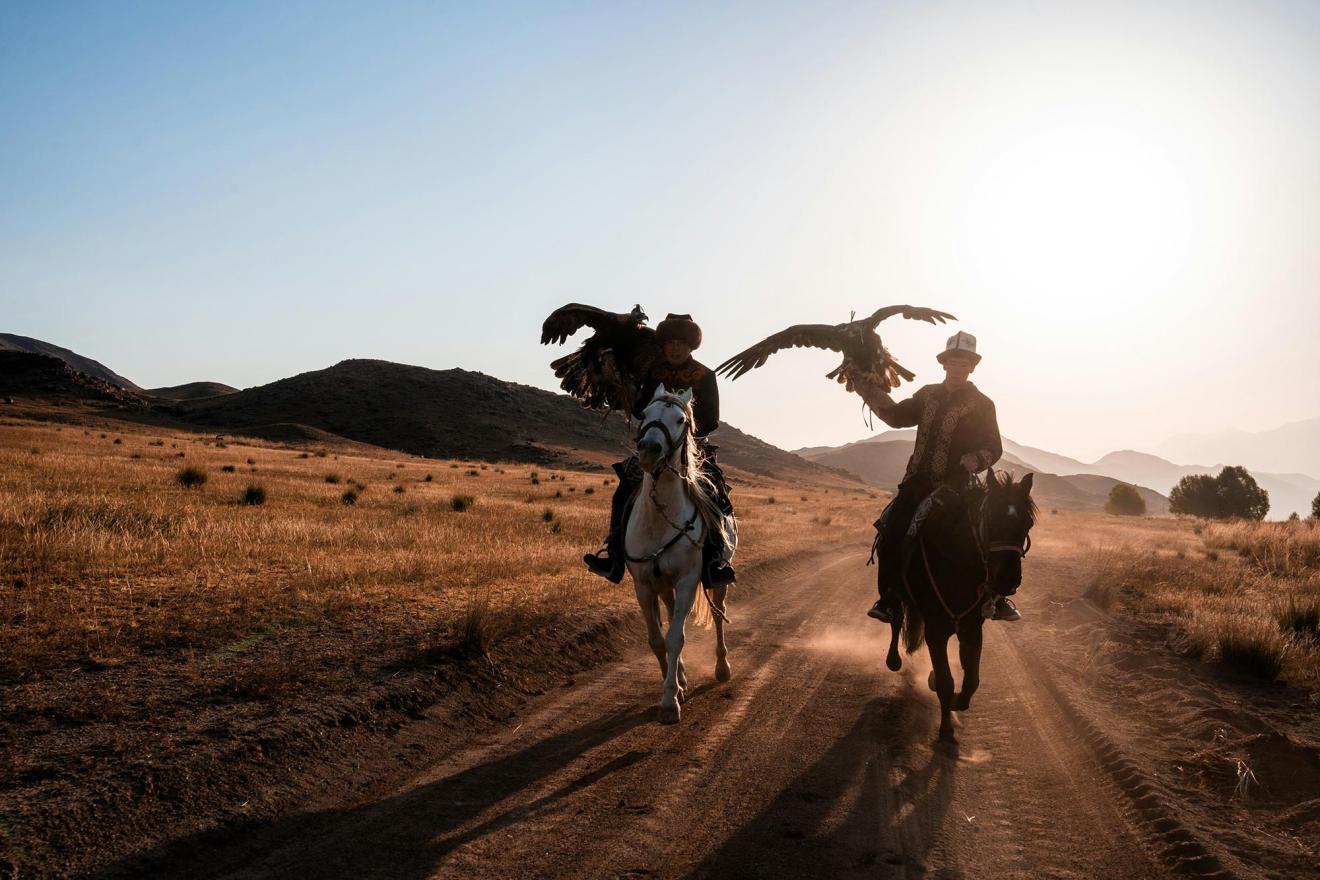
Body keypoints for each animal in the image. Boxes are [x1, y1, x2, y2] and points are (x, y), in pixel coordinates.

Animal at [625, 384, 737, 724]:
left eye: (680, 420)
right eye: (644, 413)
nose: (649, 450)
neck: (660, 518)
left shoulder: (688, 580)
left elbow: (676, 638)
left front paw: (669, 702)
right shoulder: (643, 585)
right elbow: (657, 640)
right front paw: (673, 684)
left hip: (718, 578)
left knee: (717, 614)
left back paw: (722, 667)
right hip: (664, 585)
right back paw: (683, 677)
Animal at [884, 470, 1035, 744]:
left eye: (1027, 523)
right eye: (991, 517)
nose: (1007, 580)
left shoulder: (971, 629)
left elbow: (971, 680)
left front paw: (955, 702)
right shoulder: (936, 630)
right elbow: (946, 681)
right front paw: (945, 730)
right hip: (897, 594)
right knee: (895, 619)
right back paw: (893, 659)